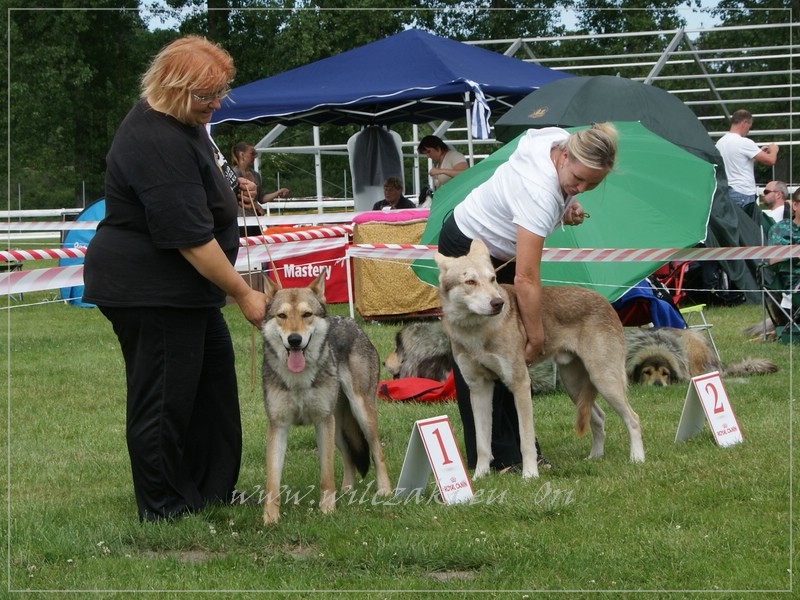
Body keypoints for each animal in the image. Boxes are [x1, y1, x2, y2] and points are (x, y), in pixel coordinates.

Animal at [260, 274, 392, 524]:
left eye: (306, 314)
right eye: (282, 316)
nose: (294, 339)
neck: (299, 379)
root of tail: (353, 323)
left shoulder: (322, 421)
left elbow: (326, 475)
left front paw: (327, 510)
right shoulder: (278, 426)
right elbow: (272, 481)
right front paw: (270, 519)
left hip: (360, 414)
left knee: (377, 451)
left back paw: (385, 491)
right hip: (338, 428)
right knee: (350, 458)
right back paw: (347, 491)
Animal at [434, 241, 648, 480]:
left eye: (492, 279)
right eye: (470, 281)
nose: (498, 303)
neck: (475, 332)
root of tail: (605, 301)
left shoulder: (520, 384)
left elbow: (526, 440)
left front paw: (530, 475)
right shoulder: (480, 388)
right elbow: (483, 444)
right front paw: (479, 477)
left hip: (604, 380)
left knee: (633, 418)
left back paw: (637, 459)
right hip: (575, 387)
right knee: (599, 418)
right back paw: (595, 458)